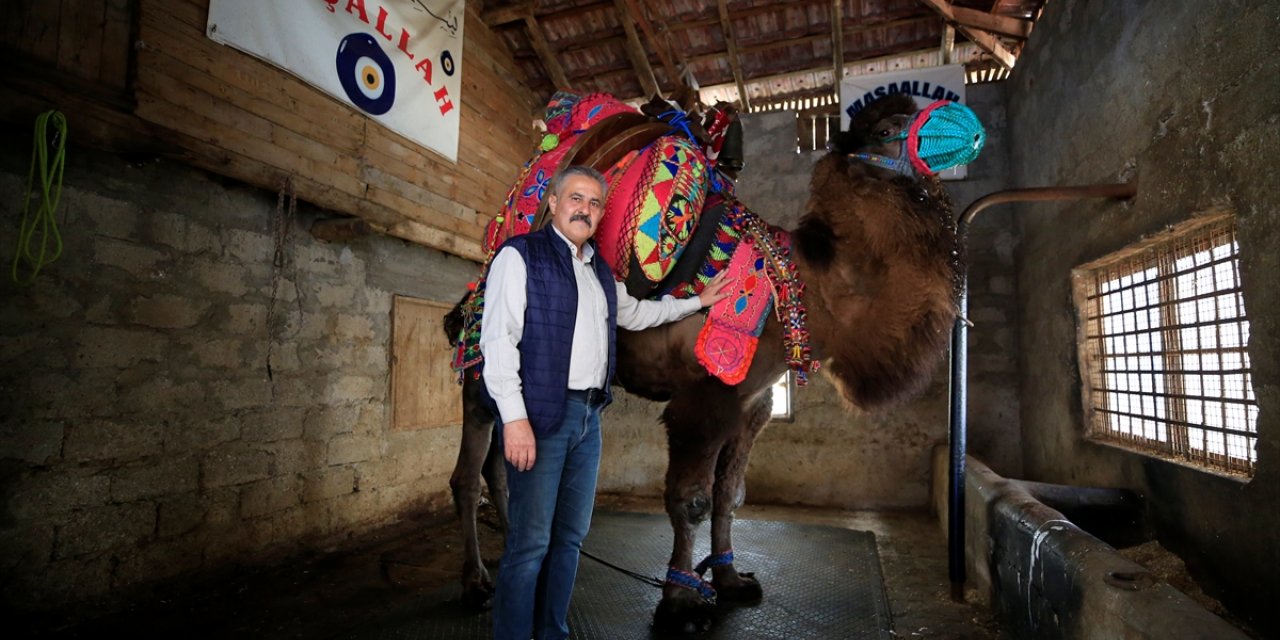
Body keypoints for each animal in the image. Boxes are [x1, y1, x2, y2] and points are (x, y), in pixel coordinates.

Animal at [440, 91, 977, 634]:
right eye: (889, 129)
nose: (969, 127)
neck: (803, 289)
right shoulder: (704, 398)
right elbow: (691, 500)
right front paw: (681, 603)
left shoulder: (753, 403)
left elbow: (731, 494)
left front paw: (730, 580)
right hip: (482, 371)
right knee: (468, 471)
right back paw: (476, 583)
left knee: (505, 470)